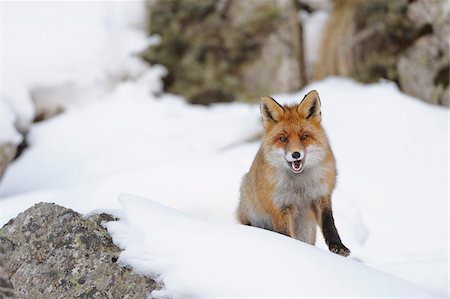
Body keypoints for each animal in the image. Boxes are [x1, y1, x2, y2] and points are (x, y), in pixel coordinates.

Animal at [237, 91, 350, 258]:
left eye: (304, 137)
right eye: (283, 139)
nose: (296, 154)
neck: (299, 185)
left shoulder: (321, 195)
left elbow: (329, 224)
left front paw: (338, 247)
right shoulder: (280, 205)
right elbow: (285, 234)